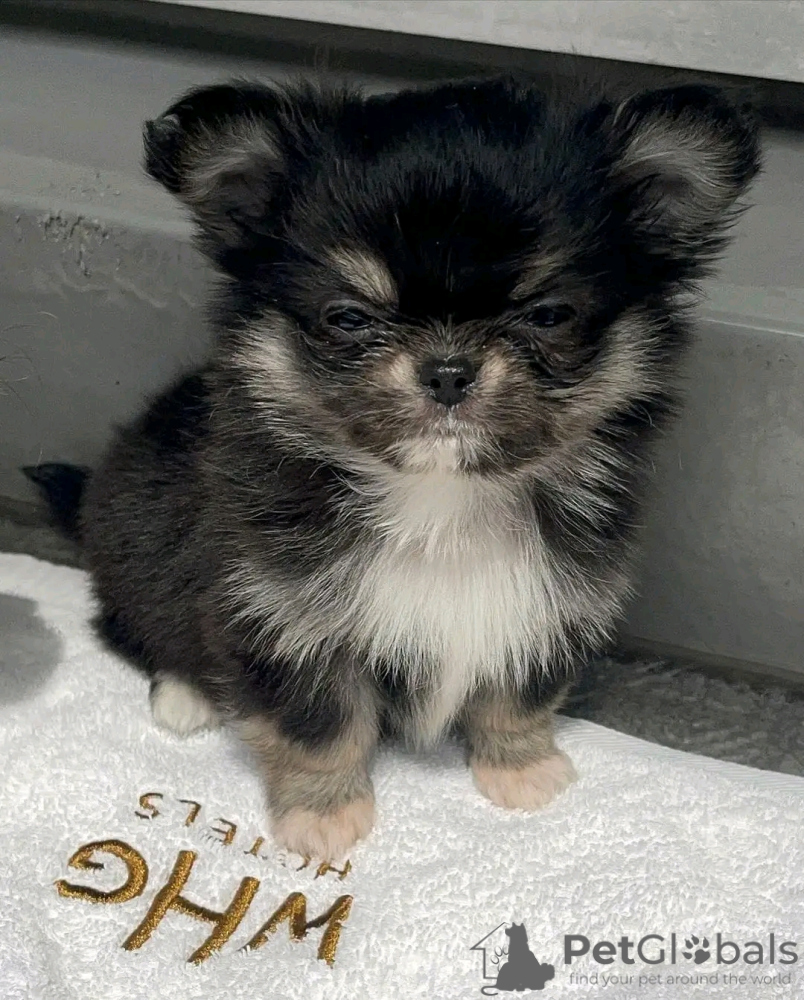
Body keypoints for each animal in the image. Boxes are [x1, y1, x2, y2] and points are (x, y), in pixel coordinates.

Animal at [26, 76, 760, 861]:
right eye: (349, 317)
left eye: (549, 315)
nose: (448, 369)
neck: (440, 498)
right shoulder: (282, 619)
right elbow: (319, 727)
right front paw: (323, 816)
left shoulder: (545, 603)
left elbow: (517, 697)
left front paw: (522, 769)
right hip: (135, 551)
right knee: (128, 625)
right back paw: (187, 694)